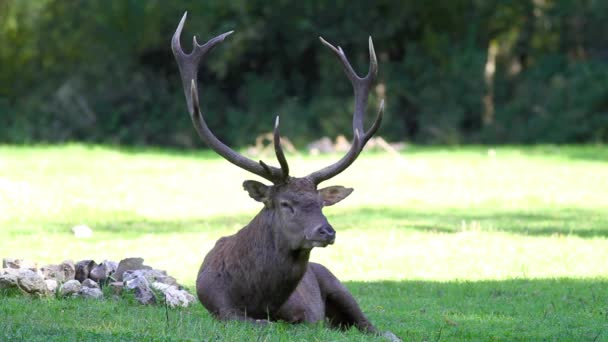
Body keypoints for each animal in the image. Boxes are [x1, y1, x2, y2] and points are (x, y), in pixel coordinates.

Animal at [171, 12, 400, 340]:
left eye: (321, 204)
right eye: (285, 204)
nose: (326, 232)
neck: (259, 298)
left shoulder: (306, 314)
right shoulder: (219, 305)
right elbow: (251, 321)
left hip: (335, 282)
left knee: (370, 325)